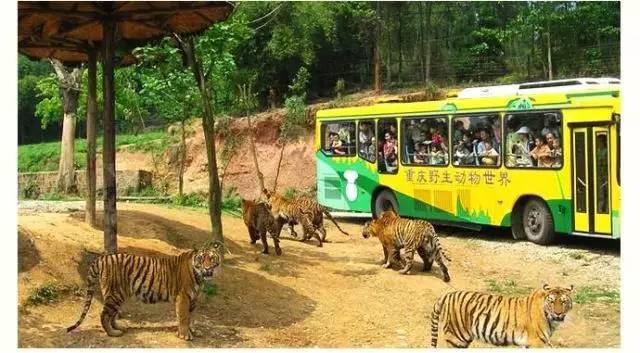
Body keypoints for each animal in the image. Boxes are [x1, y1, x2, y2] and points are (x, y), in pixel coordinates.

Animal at [66, 241, 224, 340]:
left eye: (211, 258)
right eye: (201, 259)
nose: (207, 269)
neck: (200, 277)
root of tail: (102, 258)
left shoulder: (193, 299)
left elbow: (191, 317)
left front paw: (192, 331)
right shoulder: (184, 297)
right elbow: (184, 317)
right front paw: (185, 335)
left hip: (116, 295)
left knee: (111, 314)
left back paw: (118, 327)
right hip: (115, 294)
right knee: (104, 314)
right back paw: (113, 333)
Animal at [430, 284, 576, 346]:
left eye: (563, 302)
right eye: (551, 301)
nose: (558, 313)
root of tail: (447, 295)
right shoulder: (537, 342)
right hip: (456, 337)